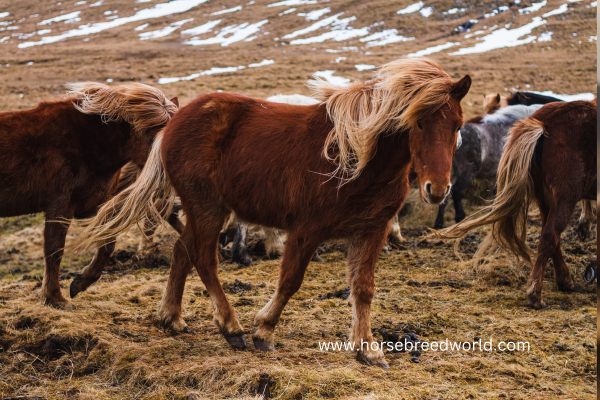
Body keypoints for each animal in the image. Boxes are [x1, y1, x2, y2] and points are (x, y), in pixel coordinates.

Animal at [0, 83, 178, 310]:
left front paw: (80, 282)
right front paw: (54, 297)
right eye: (151, 139)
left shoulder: (93, 205)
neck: (86, 142)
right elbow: (54, 250)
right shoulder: (60, 206)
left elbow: (108, 242)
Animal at [70, 57, 472, 368]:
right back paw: (231, 327)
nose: (437, 190)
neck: (358, 157)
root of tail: (176, 118)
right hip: (207, 207)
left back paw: (172, 318)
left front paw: (368, 350)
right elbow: (290, 280)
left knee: (182, 252)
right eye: (418, 122)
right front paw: (264, 330)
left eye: (457, 125)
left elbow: (363, 288)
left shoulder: (371, 230)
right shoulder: (306, 230)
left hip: (206, 209)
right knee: (203, 258)